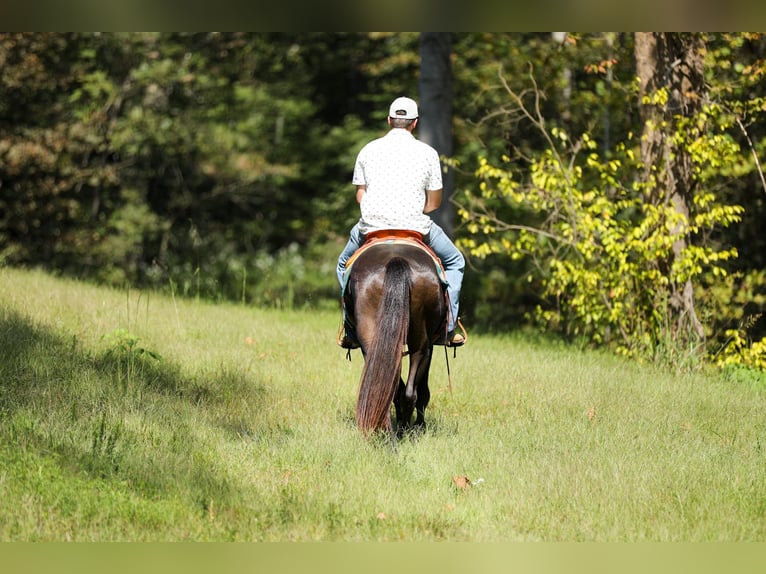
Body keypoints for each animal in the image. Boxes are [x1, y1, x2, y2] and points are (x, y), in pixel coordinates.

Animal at [343, 237, 448, 435]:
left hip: (374, 339)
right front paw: (420, 425)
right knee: (411, 389)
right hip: (421, 343)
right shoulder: (430, 346)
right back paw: (405, 429)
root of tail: (396, 259)